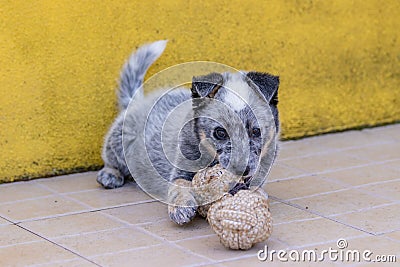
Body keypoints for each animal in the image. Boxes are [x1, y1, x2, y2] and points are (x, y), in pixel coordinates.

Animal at [97, 40, 280, 226]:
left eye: (256, 131)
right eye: (220, 133)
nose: (243, 170)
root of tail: (138, 100)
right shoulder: (180, 170)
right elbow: (179, 185)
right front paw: (180, 207)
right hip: (120, 140)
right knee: (110, 159)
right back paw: (110, 175)